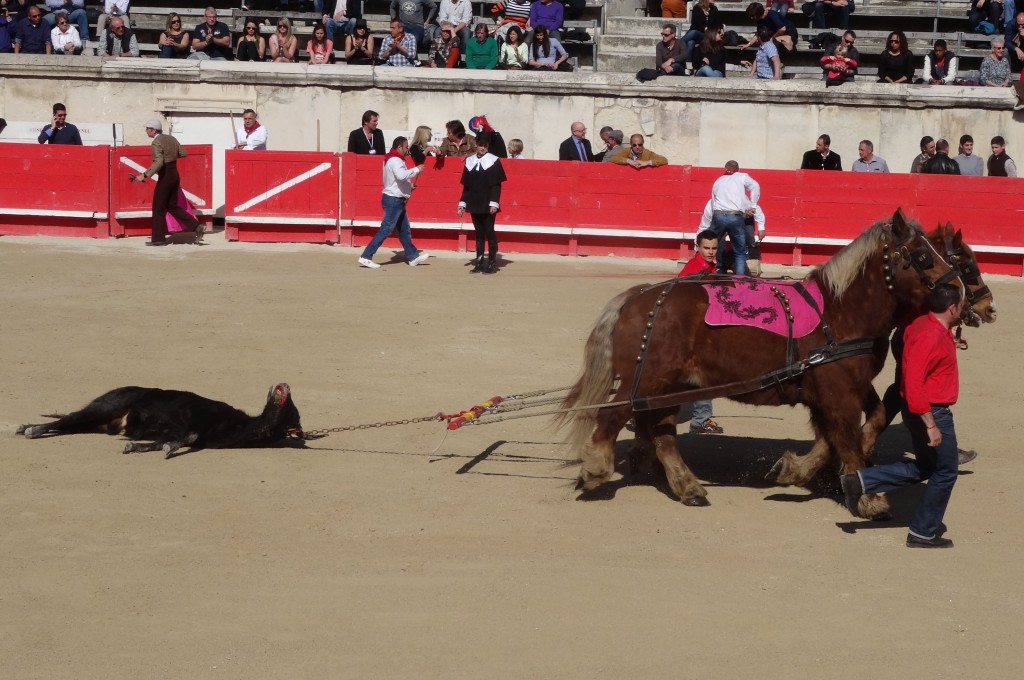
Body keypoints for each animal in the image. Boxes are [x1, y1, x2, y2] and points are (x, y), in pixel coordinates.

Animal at [561, 213, 983, 516]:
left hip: (670, 387)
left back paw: (686, 485)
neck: (840, 312)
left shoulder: (846, 387)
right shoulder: (838, 393)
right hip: (649, 381)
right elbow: (845, 439)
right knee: (614, 416)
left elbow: (859, 427)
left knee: (661, 432)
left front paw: (801, 470)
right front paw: (864, 494)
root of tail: (637, 297)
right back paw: (596, 467)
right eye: (924, 256)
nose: (963, 296)